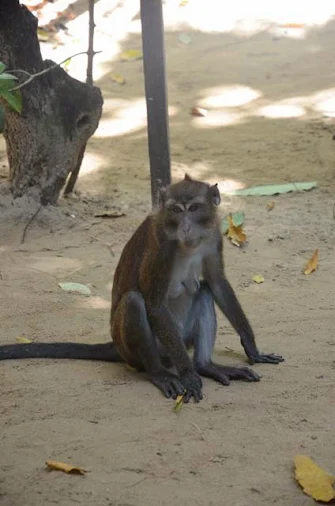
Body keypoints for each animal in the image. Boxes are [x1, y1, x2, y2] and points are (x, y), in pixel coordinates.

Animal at [0, 175, 284, 404]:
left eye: (193, 208)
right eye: (176, 210)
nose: (185, 227)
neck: (188, 244)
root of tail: (115, 345)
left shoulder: (213, 237)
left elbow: (217, 283)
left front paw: (252, 348)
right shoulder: (162, 247)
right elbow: (154, 305)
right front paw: (188, 375)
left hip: (183, 339)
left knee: (203, 290)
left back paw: (206, 366)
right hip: (146, 350)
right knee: (134, 301)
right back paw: (161, 373)